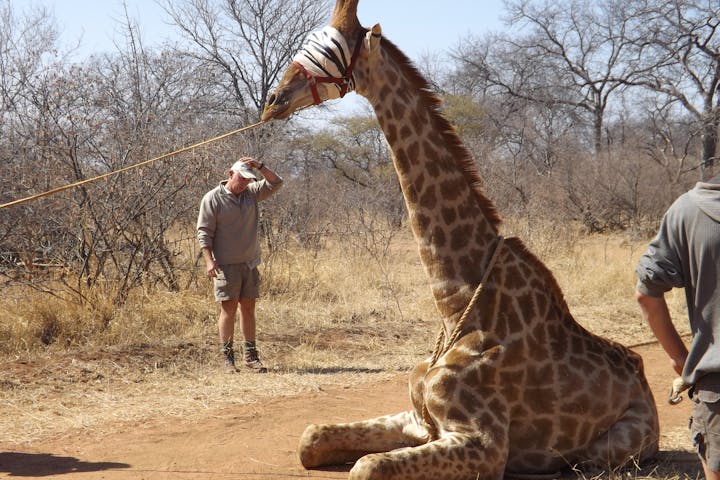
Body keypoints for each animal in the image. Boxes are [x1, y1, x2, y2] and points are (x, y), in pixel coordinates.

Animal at [262, 1, 660, 478]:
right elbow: (311, 437)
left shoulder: (484, 442)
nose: (272, 102)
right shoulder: (418, 419)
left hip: (610, 448)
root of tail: (645, 381)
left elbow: (367, 466)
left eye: (331, 51)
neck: (453, 302)